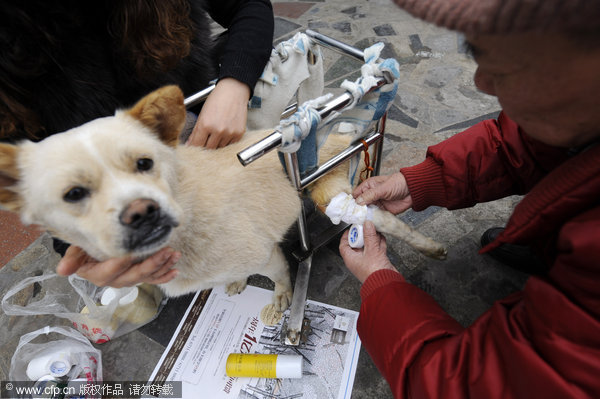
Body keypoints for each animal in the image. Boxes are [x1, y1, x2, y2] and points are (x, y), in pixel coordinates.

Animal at [0, 86, 446, 312]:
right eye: (73, 194)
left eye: (145, 163)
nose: (143, 212)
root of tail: (333, 129)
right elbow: (231, 277)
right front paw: (234, 283)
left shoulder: (267, 253)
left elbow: (282, 277)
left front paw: (281, 301)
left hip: (328, 193)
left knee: (380, 219)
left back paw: (432, 247)